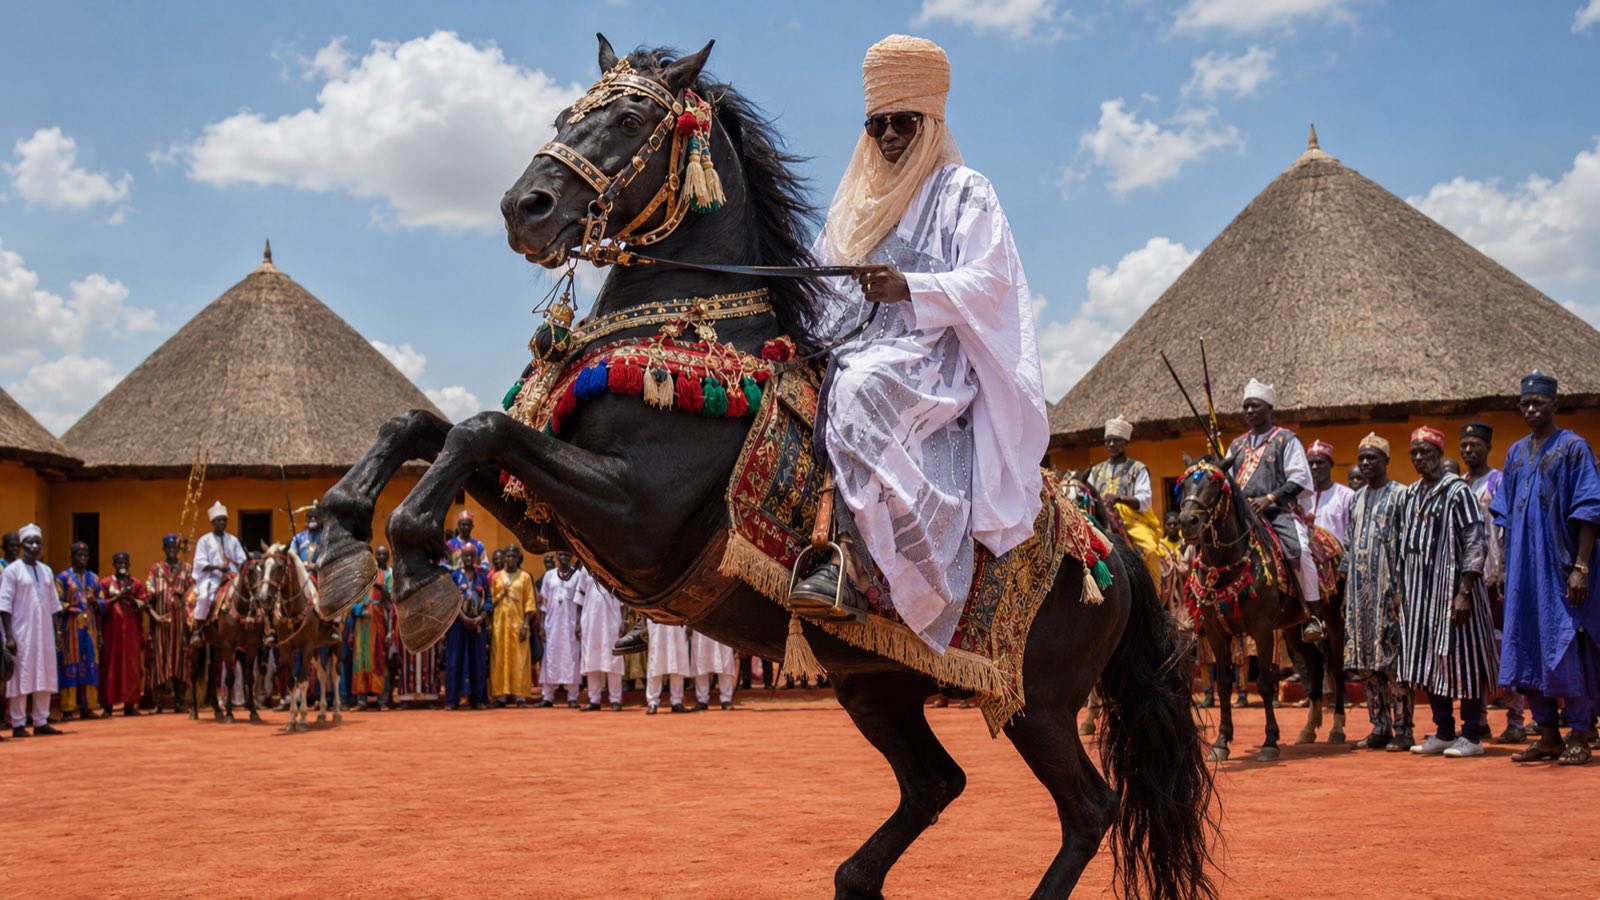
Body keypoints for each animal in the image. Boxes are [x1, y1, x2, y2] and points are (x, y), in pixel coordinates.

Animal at [189, 559, 265, 724]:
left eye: (264, 570)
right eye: (250, 571)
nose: (259, 600)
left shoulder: (252, 647)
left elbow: (249, 678)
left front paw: (254, 712)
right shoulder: (228, 645)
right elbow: (230, 678)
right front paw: (230, 713)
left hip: (216, 647)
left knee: (213, 673)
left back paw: (217, 710)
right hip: (192, 646)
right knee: (193, 674)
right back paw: (193, 710)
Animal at [258, 544, 344, 732]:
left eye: (279, 567)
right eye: (262, 567)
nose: (264, 598)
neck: (293, 609)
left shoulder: (307, 647)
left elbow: (304, 681)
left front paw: (303, 718)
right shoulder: (286, 649)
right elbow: (292, 682)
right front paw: (292, 719)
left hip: (335, 645)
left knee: (334, 675)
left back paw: (336, 712)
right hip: (317, 649)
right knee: (322, 675)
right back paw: (321, 713)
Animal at [310, 36, 1215, 898]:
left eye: (631, 121)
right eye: (567, 114)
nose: (523, 207)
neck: (690, 333)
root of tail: (1106, 541)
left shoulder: (634, 519)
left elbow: (480, 428)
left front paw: (413, 566)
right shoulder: (551, 518)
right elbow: (426, 424)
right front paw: (338, 538)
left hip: (1043, 704)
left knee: (1088, 807)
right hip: (875, 682)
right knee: (935, 783)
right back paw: (854, 879)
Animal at [1177, 459, 1341, 761]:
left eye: (1214, 483)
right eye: (1184, 485)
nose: (1186, 522)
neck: (1226, 566)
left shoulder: (1262, 629)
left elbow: (1265, 683)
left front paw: (1270, 742)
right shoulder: (1216, 633)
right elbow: (1223, 685)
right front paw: (1221, 742)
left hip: (1334, 617)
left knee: (1335, 665)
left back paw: (1337, 727)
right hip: (1292, 629)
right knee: (1314, 663)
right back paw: (1309, 728)